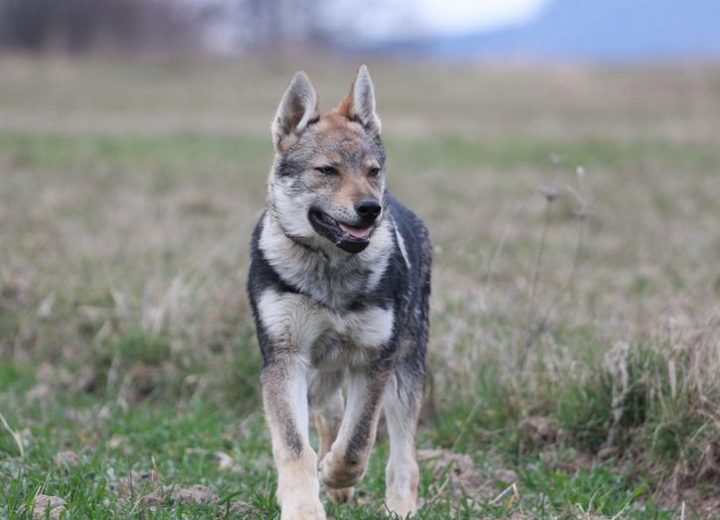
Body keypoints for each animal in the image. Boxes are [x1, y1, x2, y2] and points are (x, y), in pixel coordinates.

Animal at [247, 65, 431, 519]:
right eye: (327, 171)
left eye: (372, 171)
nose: (371, 209)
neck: (330, 270)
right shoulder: (284, 359)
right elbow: (296, 447)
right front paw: (304, 507)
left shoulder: (375, 360)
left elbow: (357, 444)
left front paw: (335, 475)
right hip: (319, 372)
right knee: (328, 416)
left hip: (406, 370)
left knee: (404, 455)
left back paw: (399, 506)